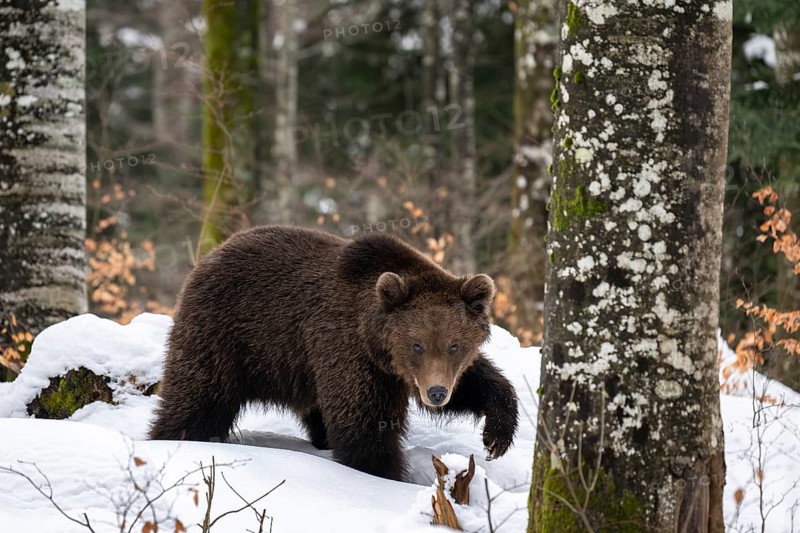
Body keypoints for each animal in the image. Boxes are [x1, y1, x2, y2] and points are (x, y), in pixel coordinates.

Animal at [149, 225, 518, 481]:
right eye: (417, 344)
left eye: (455, 345)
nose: (437, 393)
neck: (377, 346)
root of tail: (212, 254)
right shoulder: (348, 351)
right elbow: (364, 426)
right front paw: (386, 475)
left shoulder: (403, 371)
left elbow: (477, 382)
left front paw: (496, 436)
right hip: (225, 335)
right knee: (198, 398)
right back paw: (175, 438)